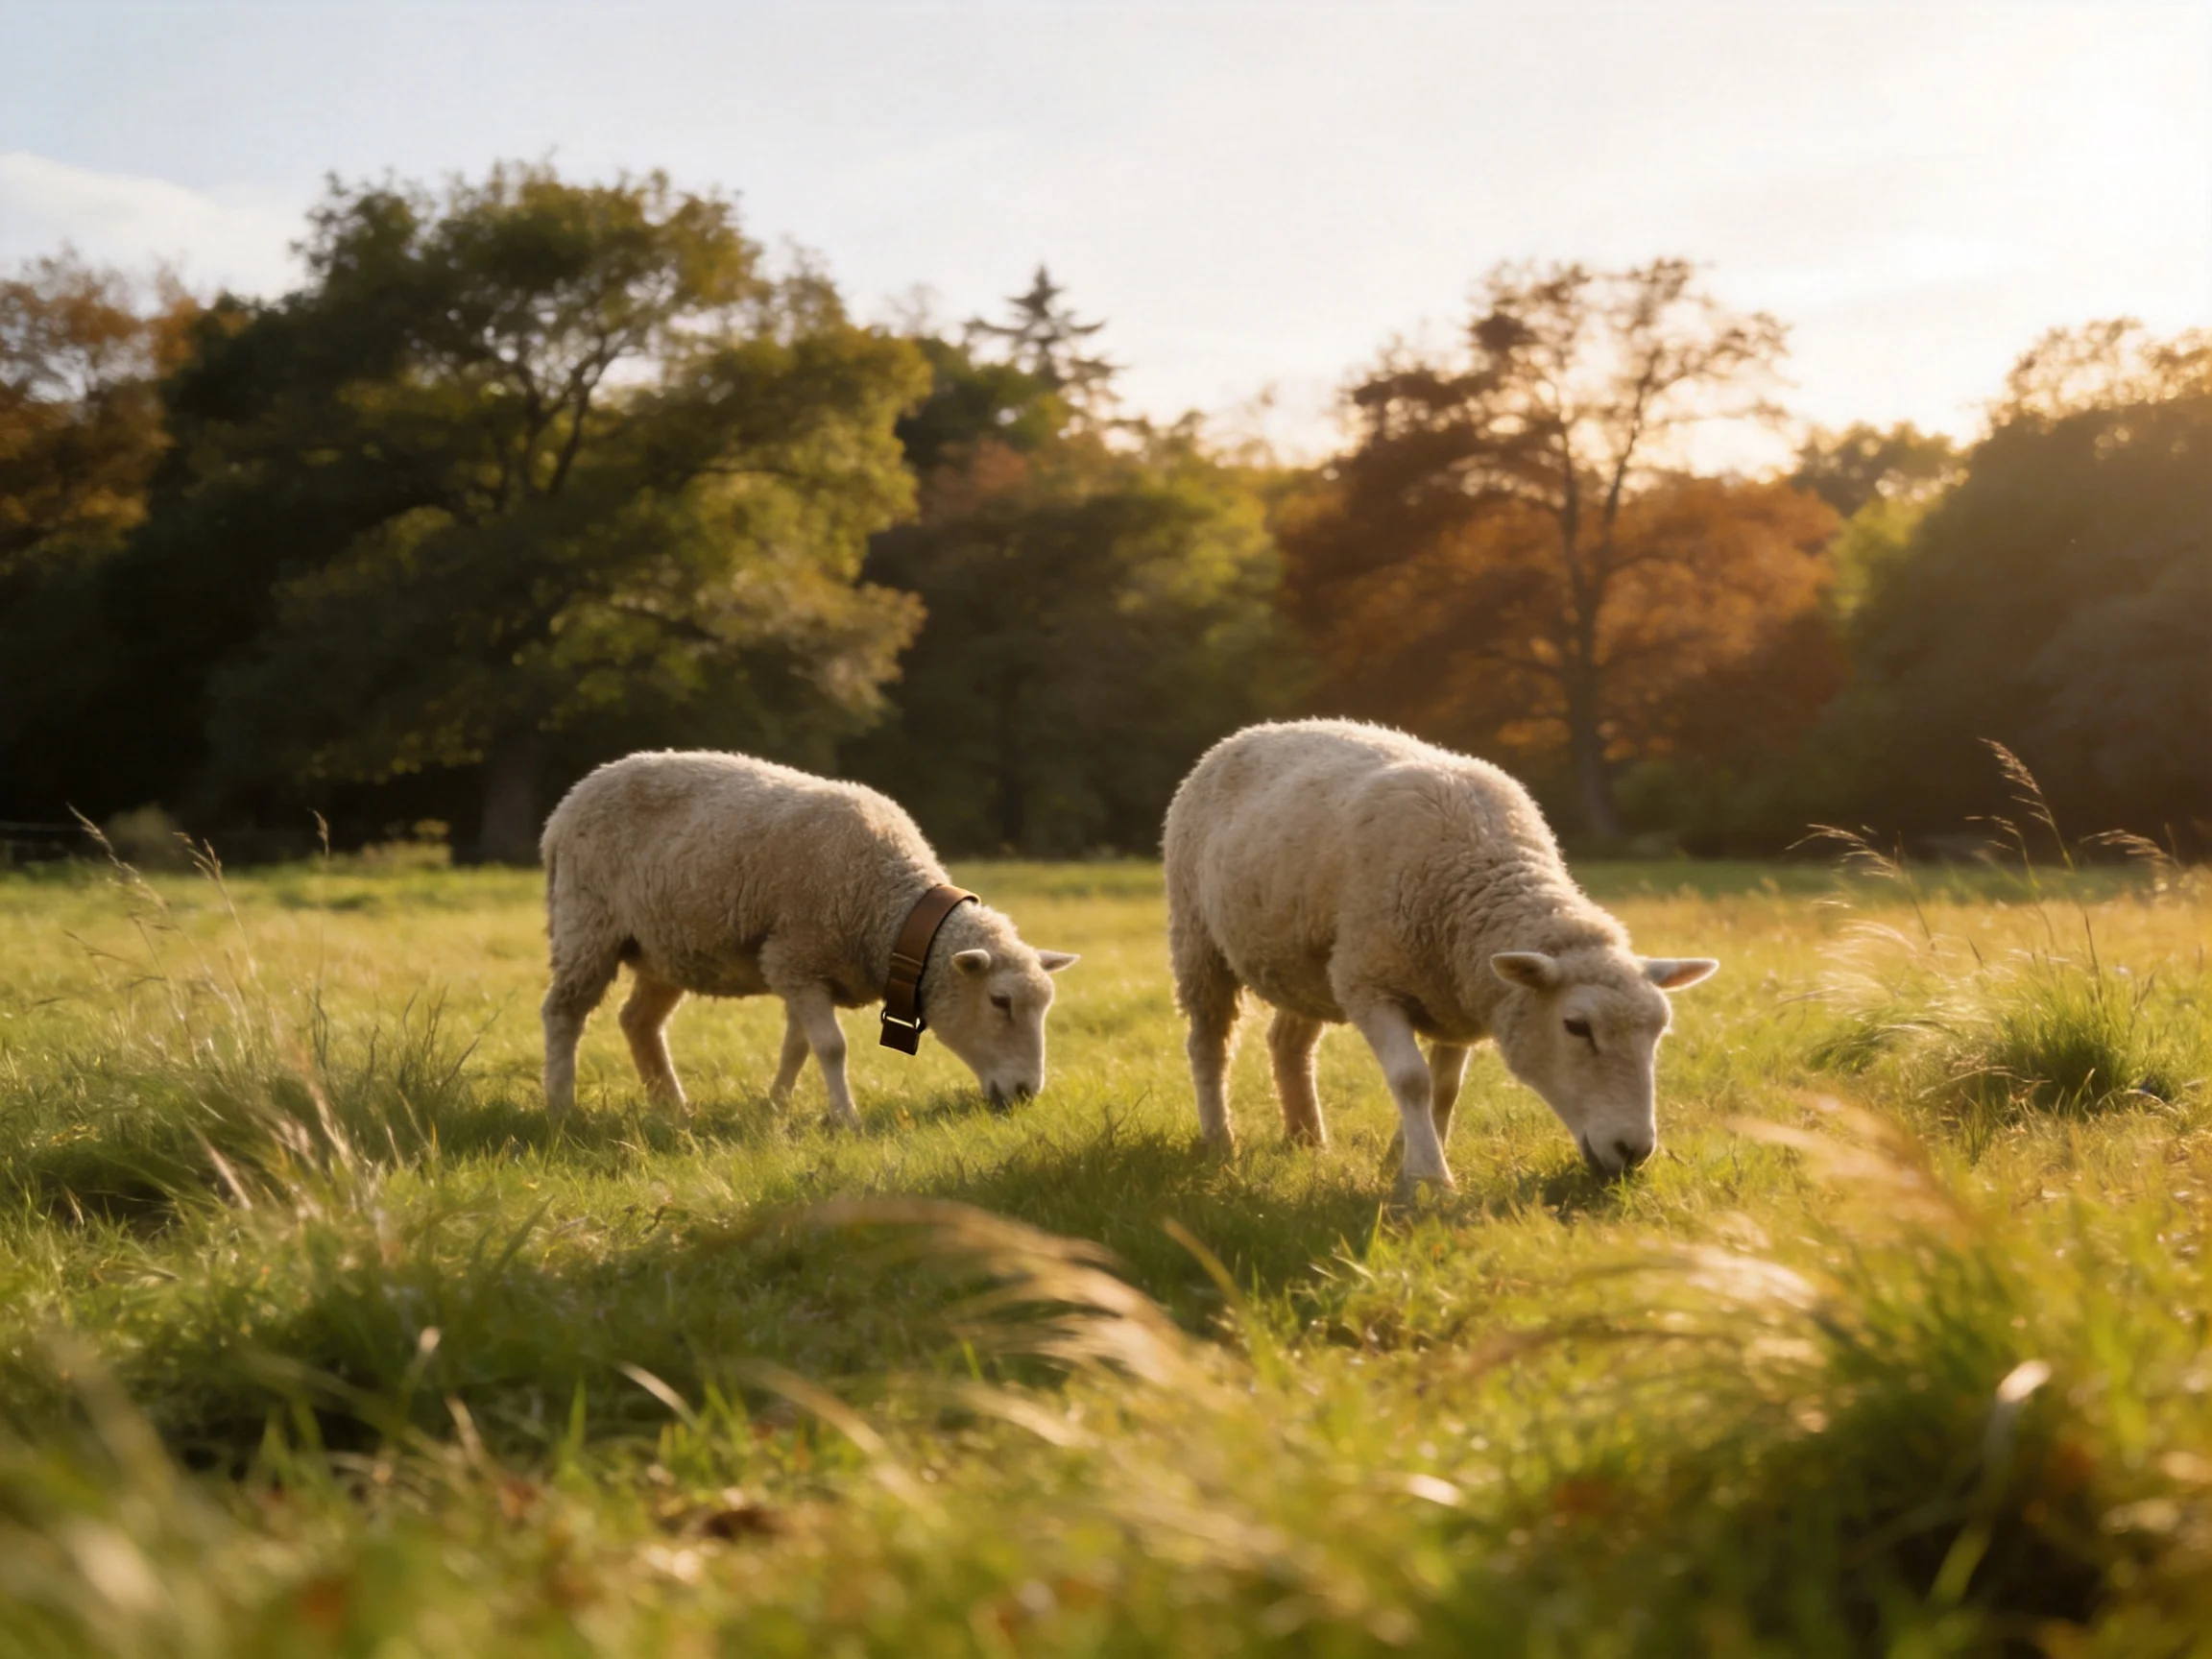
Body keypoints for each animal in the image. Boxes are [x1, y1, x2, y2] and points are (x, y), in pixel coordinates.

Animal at [539, 750, 1077, 1127]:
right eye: (1000, 1002)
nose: (1026, 1093)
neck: (889, 912)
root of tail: (565, 808)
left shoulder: (804, 970)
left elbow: (797, 1048)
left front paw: (774, 1109)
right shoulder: (795, 958)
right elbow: (831, 1047)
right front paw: (846, 1119)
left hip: (664, 948)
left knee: (638, 1022)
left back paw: (672, 1107)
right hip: (586, 925)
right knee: (563, 1013)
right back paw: (562, 1106)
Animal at [1162, 720, 1716, 1194]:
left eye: (1660, 1030)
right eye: (1576, 1026)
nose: (1634, 1151)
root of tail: (1253, 731)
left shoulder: (1456, 1000)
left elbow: (1446, 1088)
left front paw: (1405, 1158)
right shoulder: (1369, 981)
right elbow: (1412, 1080)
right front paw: (1430, 1179)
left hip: (1302, 963)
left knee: (1287, 1044)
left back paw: (1307, 1140)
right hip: (1198, 939)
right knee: (1209, 1044)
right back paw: (1220, 1142)